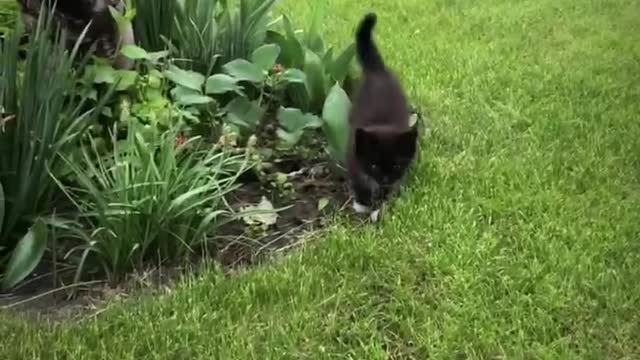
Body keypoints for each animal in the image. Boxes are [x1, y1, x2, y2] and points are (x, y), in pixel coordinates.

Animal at [348, 12, 418, 215]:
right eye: (374, 165)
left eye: (396, 165)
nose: (385, 180)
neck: (383, 124)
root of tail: (378, 70)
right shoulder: (352, 156)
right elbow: (358, 179)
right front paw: (362, 203)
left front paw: (383, 202)